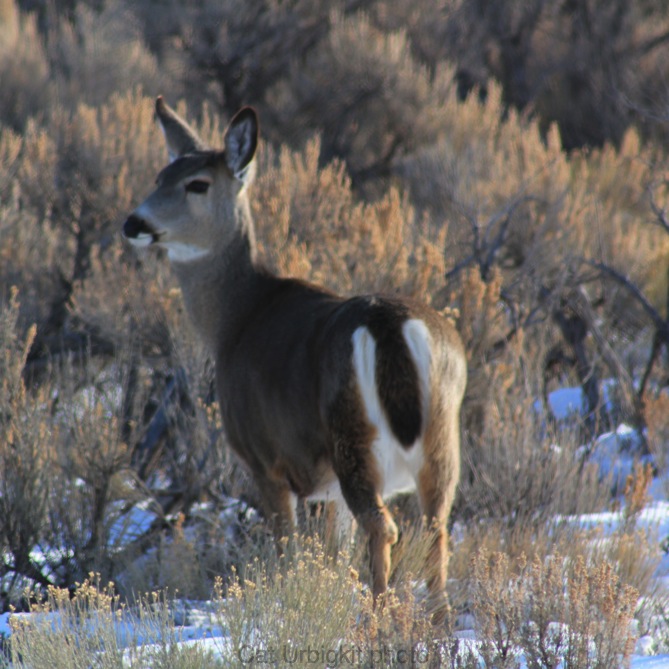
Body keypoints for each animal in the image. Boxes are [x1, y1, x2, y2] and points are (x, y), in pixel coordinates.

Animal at [122, 96, 467, 618]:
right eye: (160, 176)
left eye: (197, 183)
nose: (134, 223)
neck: (236, 319)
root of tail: (388, 326)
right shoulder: (326, 490)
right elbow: (333, 552)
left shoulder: (263, 460)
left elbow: (286, 551)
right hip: (442, 440)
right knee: (435, 532)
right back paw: (436, 623)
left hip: (351, 437)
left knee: (384, 526)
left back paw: (380, 620)